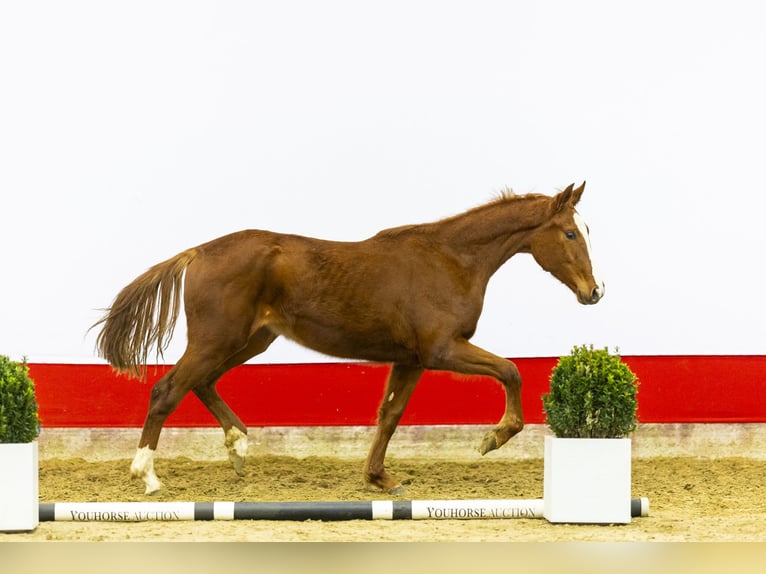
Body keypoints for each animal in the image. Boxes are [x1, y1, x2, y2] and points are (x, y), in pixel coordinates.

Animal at [91, 181, 608, 496]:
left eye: (585, 230)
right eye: (569, 233)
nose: (595, 292)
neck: (451, 261)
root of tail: (198, 252)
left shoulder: (411, 359)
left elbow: (390, 415)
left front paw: (381, 479)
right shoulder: (442, 350)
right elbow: (511, 370)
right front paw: (493, 439)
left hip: (252, 341)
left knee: (200, 383)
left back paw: (238, 448)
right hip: (217, 339)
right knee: (167, 389)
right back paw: (147, 475)